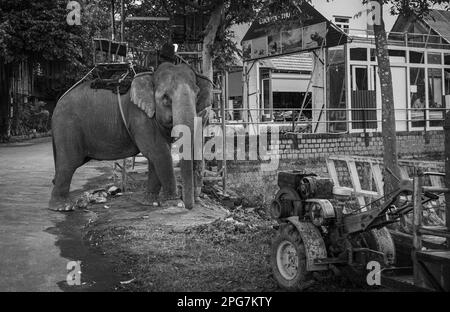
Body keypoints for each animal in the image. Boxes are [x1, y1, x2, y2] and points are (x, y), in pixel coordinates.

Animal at [50, 61, 212, 212]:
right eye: (165, 97)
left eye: (197, 95)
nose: (190, 206)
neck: (151, 76)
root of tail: (58, 102)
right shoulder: (139, 116)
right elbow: (159, 152)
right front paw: (175, 204)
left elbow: (156, 156)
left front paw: (150, 203)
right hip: (67, 126)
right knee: (68, 163)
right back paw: (63, 207)